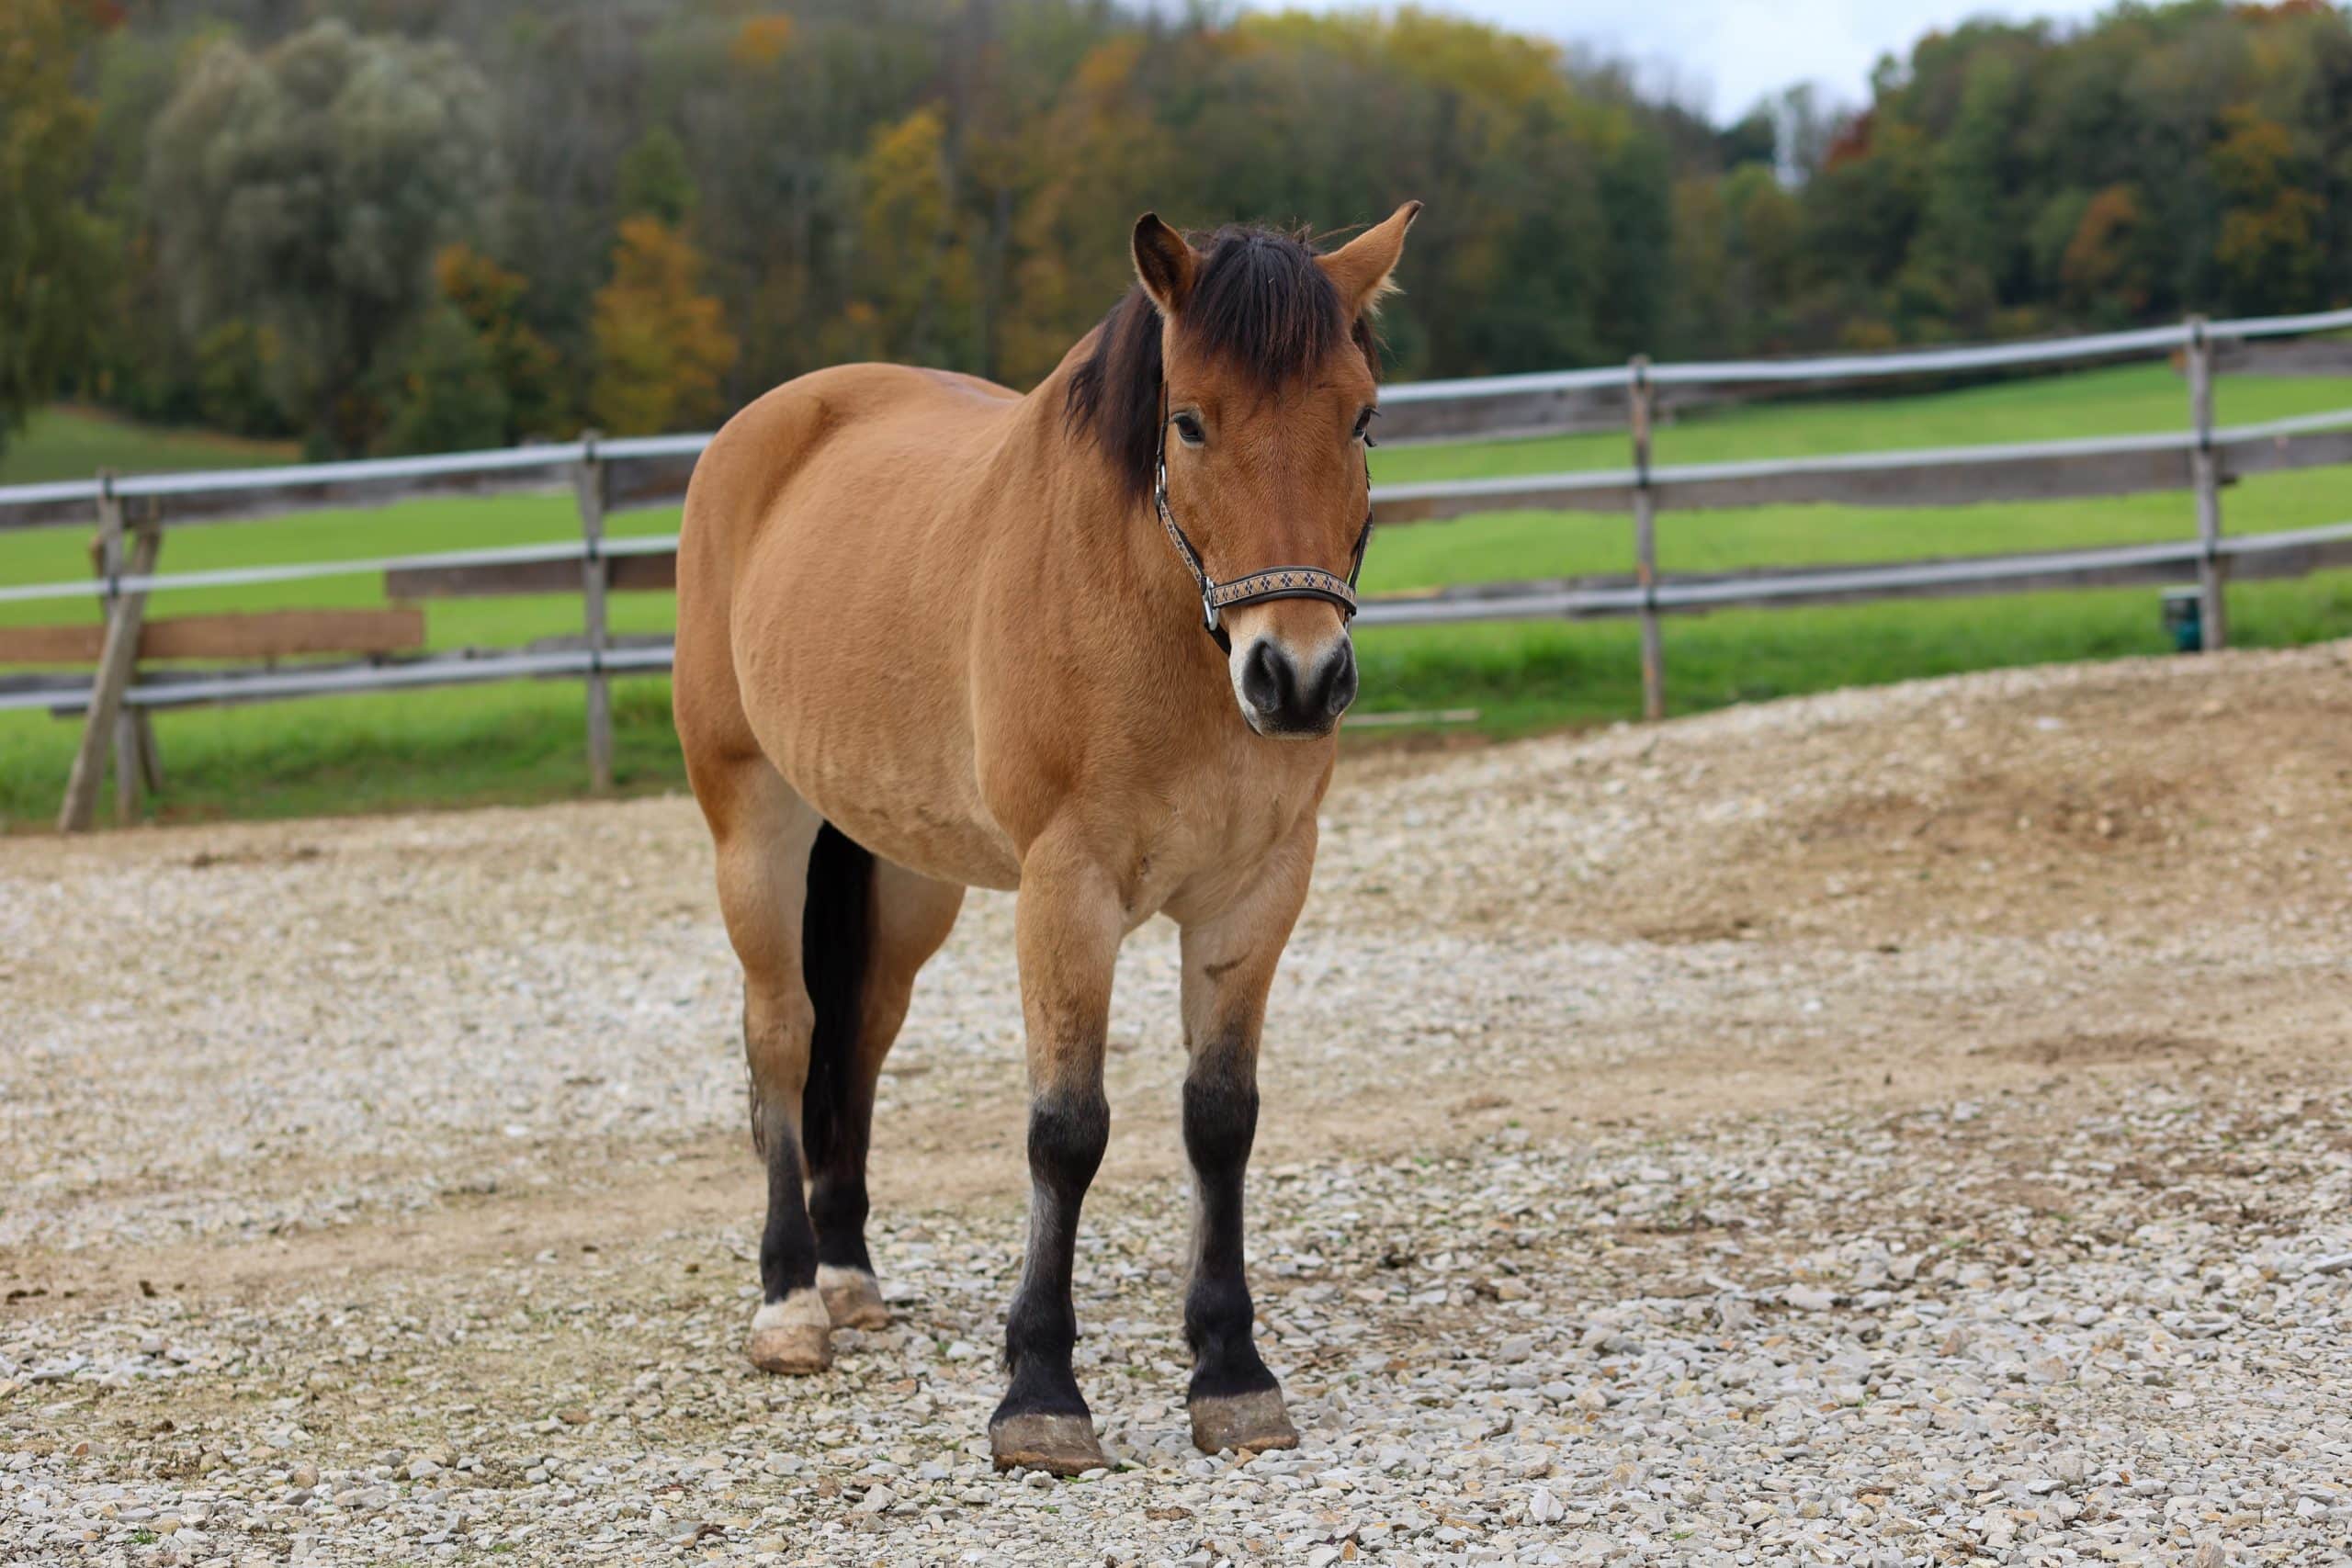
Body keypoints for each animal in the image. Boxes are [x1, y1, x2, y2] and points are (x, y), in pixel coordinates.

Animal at [672, 202, 1421, 1475]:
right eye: (1189, 419)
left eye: (1361, 416)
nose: (1298, 678)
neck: (1158, 623)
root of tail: (767, 428)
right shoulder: (1065, 891)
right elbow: (1066, 1131)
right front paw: (1040, 1394)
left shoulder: (1257, 889)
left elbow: (1220, 1120)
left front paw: (1232, 1372)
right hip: (753, 827)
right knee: (783, 1036)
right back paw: (790, 1305)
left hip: (905, 878)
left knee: (857, 1044)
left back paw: (849, 1276)